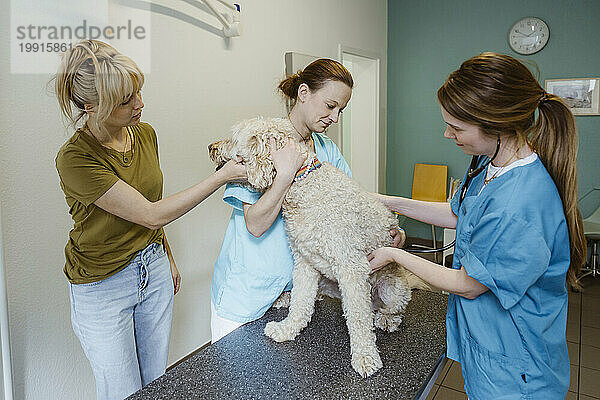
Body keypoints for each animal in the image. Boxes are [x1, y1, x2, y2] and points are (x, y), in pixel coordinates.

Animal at [209, 116, 428, 378]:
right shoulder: (304, 262)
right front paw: (287, 329)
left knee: (389, 311)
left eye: (232, 138)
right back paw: (287, 298)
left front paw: (365, 357)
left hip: (392, 289)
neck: (303, 185)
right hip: (328, 281)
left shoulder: (351, 268)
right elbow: (301, 303)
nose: (210, 148)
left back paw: (386, 319)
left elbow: (358, 319)